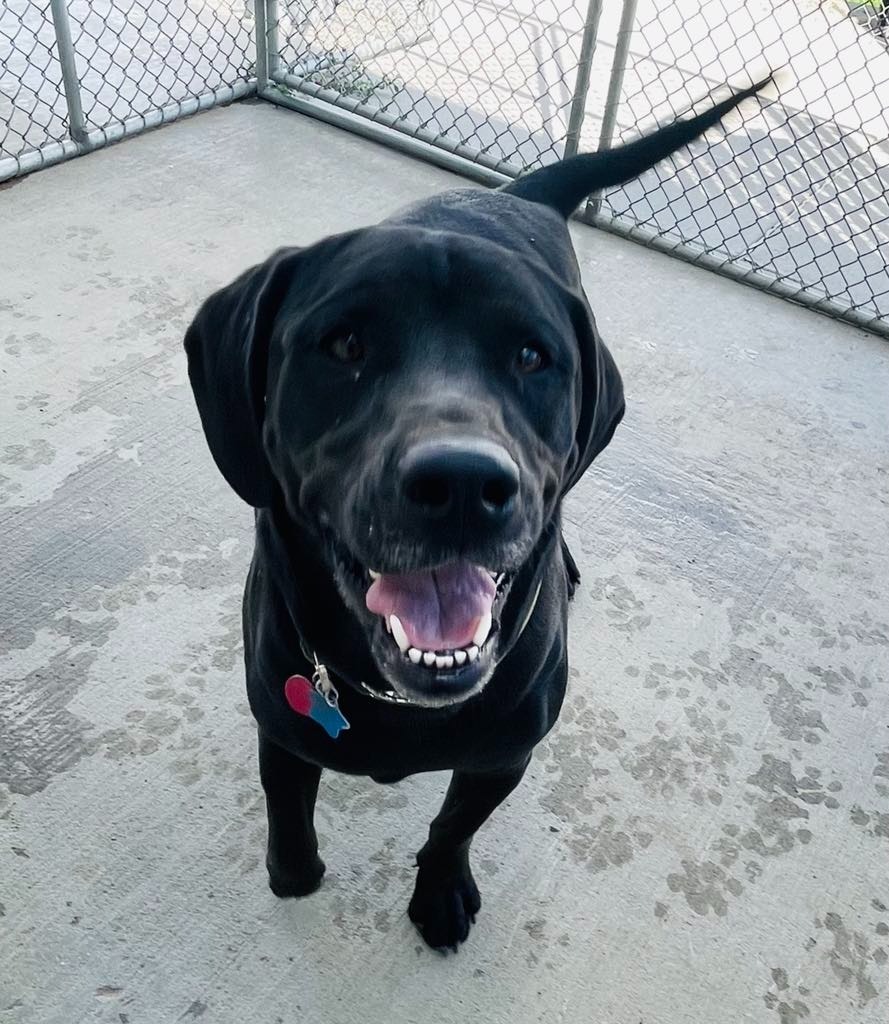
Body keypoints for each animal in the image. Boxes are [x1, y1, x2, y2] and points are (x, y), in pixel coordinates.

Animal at [184, 75, 766, 946]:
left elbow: (453, 824)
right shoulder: (281, 725)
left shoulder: (502, 754)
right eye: (344, 345)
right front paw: (293, 872)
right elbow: (286, 801)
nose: (461, 482)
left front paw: (438, 889)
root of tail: (511, 194)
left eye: (530, 355)